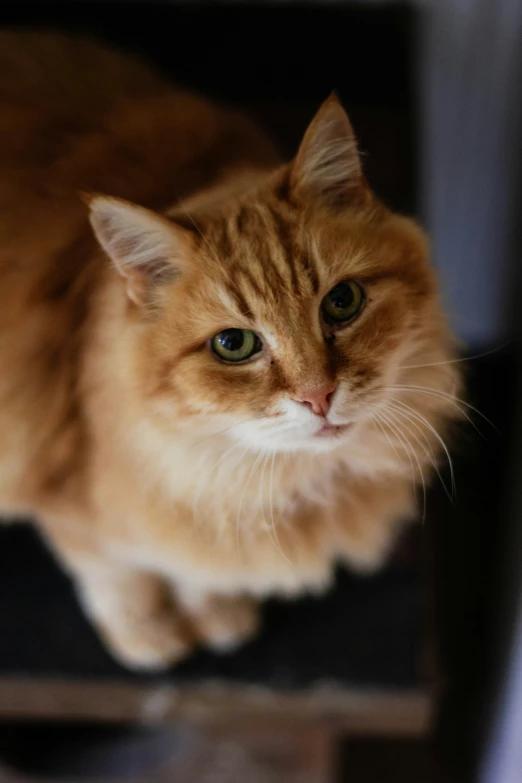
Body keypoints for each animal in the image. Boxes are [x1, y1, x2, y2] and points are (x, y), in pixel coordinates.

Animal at [0, 29, 458, 668]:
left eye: (342, 302)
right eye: (234, 344)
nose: (319, 396)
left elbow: (195, 567)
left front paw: (216, 610)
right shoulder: (60, 493)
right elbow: (120, 575)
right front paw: (151, 632)